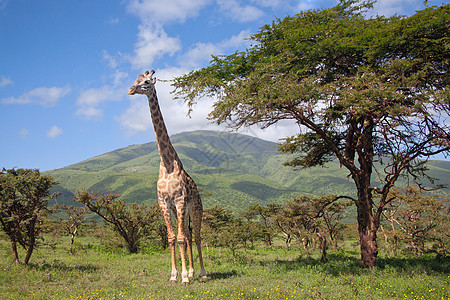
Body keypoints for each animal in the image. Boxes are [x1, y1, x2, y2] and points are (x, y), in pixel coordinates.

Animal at [127, 69, 207, 284]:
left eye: (146, 82)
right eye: (135, 80)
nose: (131, 90)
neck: (168, 163)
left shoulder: (179, 201)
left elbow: (179, 239)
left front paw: (184, 278)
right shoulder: (164, 203)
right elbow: (172, 238)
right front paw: (175, 275)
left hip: (195, 208)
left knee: (196, 236)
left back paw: (202, 273)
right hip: (182, 211)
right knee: (188, 235)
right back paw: (193, 271)